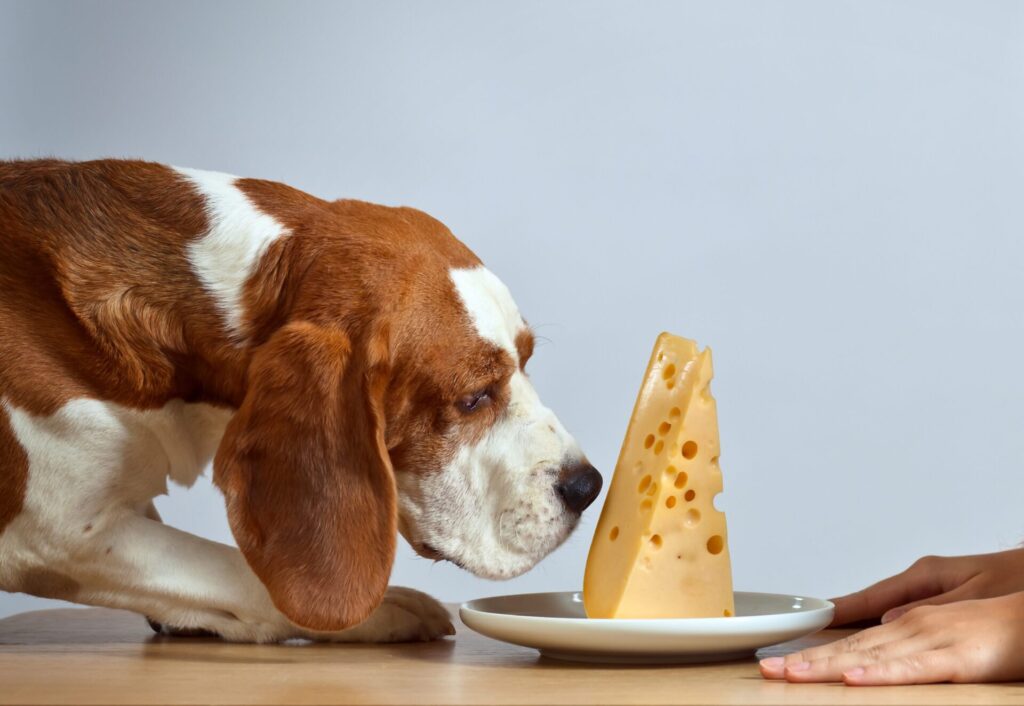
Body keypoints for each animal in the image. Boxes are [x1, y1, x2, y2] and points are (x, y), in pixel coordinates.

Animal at [0, 160, 602, 643]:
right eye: (473, 397)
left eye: (526, 359)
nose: (587, 487)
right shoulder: (56, 530)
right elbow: (231, 569)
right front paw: (382, 610)